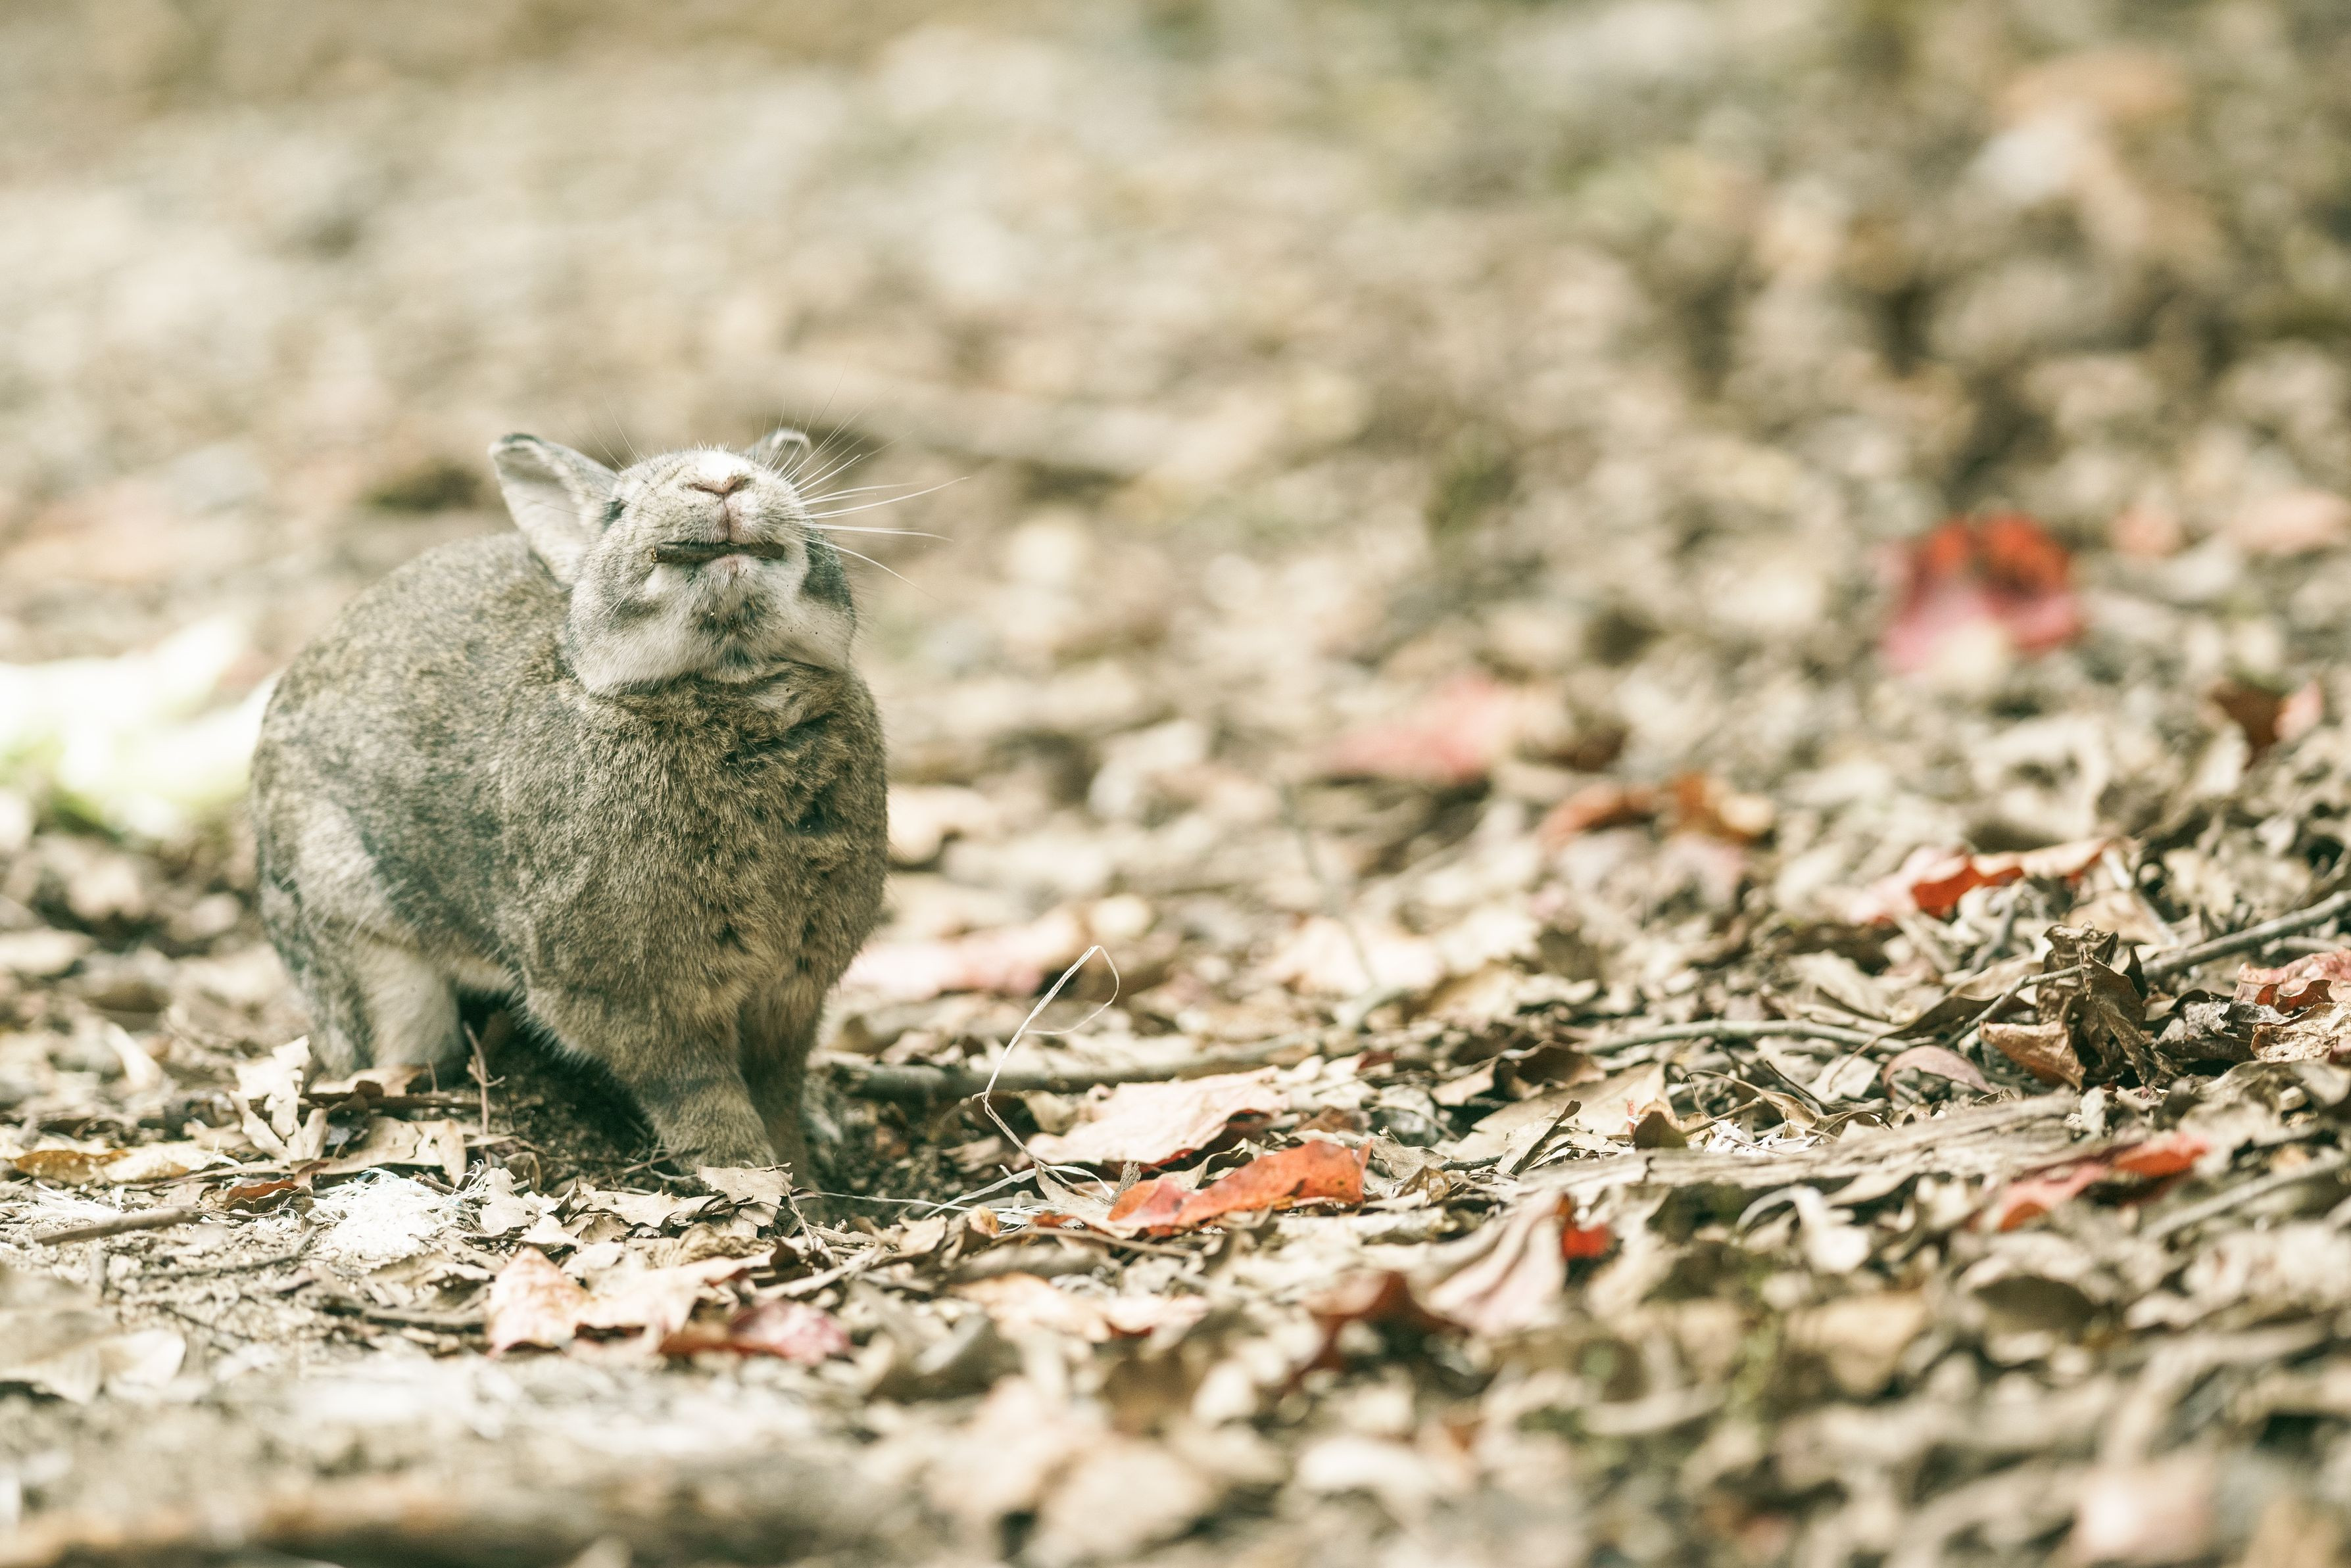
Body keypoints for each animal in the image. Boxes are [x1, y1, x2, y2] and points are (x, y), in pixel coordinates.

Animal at [250, 429, 888, 1186]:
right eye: (617, 509)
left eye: (782, 485)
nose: (724, 483)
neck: (730, 685)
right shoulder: (634, 993)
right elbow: (698, 1094)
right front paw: (747, 1178)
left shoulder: (792, 987)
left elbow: (775, 1087)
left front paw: (807, 1188)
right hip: (366, 945)